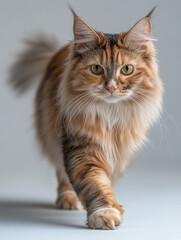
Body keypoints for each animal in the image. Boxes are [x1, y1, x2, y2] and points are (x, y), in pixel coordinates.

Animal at [8, 6, 163, 230]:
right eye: (97, 69)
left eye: (127, 69)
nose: (111, 87)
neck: (111, 115)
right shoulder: (81, 147)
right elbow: (94, 183)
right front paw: (104, 213)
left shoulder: (120, 151)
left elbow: (105, 182)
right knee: (62, 174)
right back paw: (68, 199)